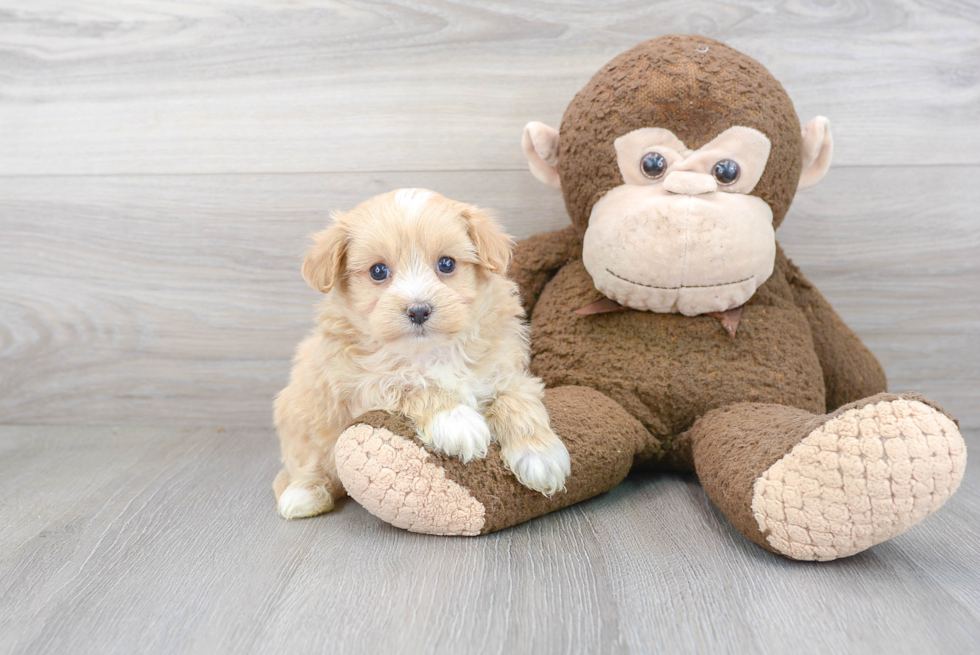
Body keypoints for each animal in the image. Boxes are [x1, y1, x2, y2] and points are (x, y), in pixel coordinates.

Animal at [272, 188, 572, 516]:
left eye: (447, 264)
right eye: (378, 271)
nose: (418, 310)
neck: (431, 350)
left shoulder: (507, 369)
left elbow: (516, 400)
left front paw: (541, 455)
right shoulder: (357, 385)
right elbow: (410, 384)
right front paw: (456, 421)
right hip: (299, 422)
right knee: (302, 467)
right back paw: (303, 495)